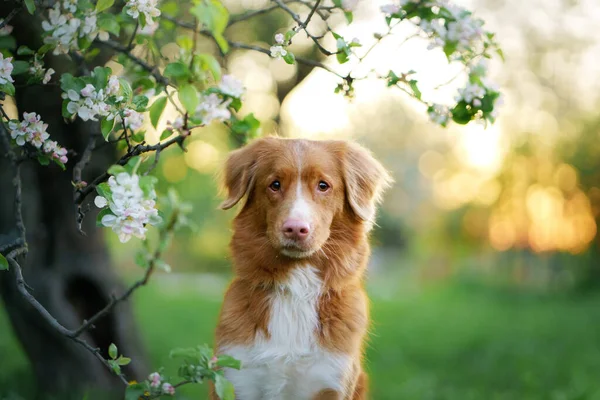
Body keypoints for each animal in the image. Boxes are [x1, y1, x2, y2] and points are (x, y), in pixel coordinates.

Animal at [213, 136, 392, 398]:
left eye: (323, 185)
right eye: (275, 184)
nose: (295, 228)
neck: (296, 288)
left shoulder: (330, 379)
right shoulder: (238, 376)